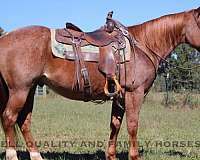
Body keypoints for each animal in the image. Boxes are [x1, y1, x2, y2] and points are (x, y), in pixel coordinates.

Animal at [0, 6, 200, 159]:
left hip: (30, 89)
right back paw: (13, 155)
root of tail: (5, 38)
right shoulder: (134, 93)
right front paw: (134, 156)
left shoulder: (119, 95)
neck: (143, 45)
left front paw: (111, 155)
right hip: (20, 90)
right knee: (9, 118)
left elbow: (115, 124)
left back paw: (37, 156)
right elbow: (132, 125)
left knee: (24, 121)